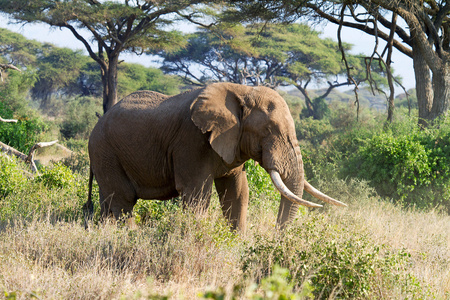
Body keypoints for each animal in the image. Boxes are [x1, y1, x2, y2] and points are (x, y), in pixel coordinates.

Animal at [83, 83, 344, 231]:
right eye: (269, 130)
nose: (276, 238)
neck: (243, 91)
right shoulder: (190, 142)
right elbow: (197, 193)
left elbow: (237, 192)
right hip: (105, 151)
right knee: (123, 201)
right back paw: (128, 238)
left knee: (109, 202)